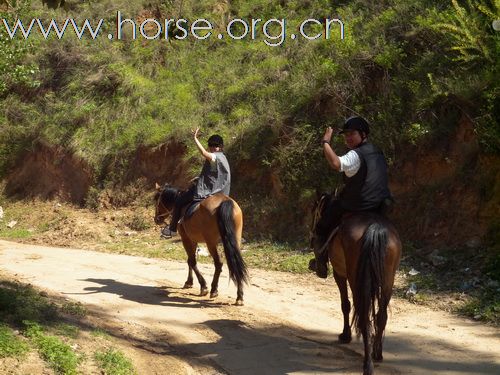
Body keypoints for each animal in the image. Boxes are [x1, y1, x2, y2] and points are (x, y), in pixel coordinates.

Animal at [308, 195, 402, 374]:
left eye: (315, 213)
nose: (311, 236)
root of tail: (374, 227)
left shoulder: (339, 273)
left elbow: (345, 305)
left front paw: (345, 335)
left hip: (356, 280)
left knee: (364, 317)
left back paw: (368, 364)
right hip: (388, 281)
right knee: (381, 316)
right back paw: (377, 353)